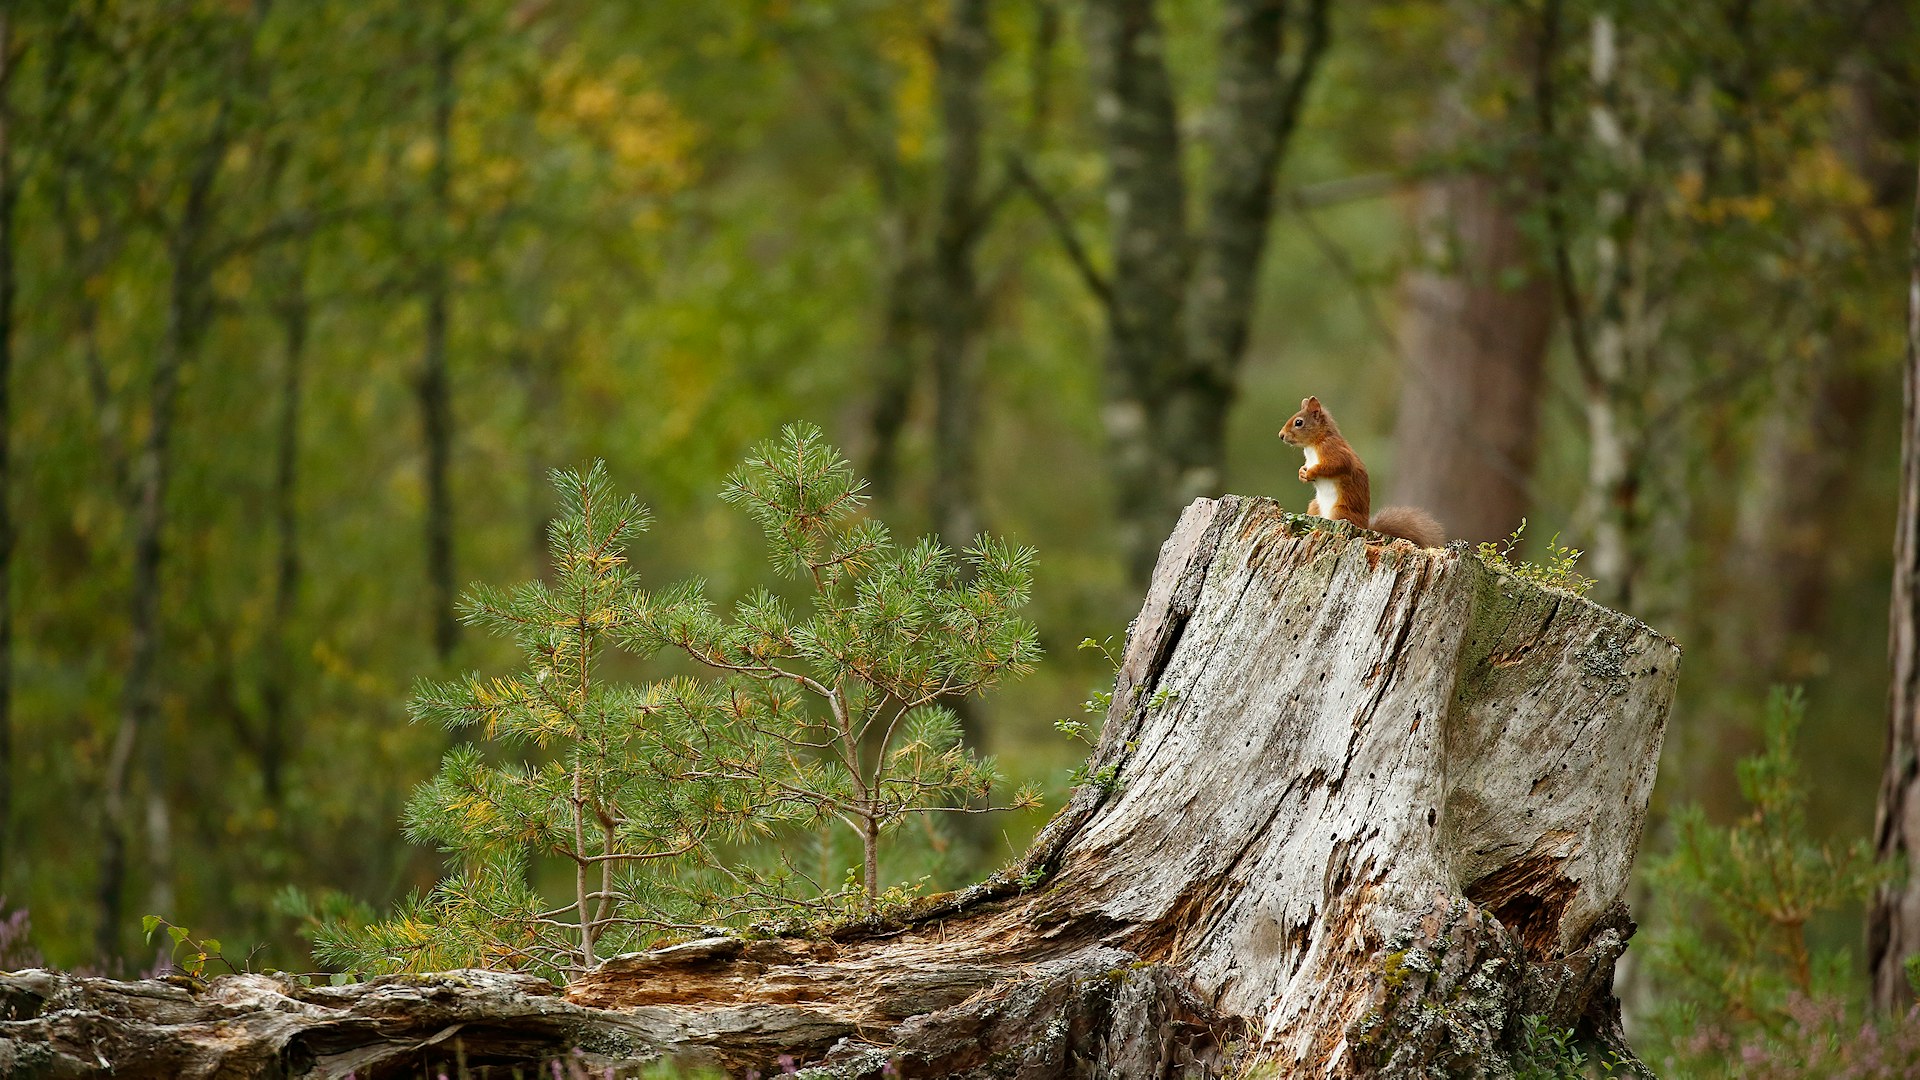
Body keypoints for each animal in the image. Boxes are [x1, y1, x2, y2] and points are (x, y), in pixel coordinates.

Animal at [1282, 395, 1443, 545]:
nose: (1281, 435)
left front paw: (1310, 473)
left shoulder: (1334, 451)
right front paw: (1302, 473)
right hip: (1315, 506)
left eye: (1298, 422)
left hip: (1340, 512)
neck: (1313, 444)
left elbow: (1336, 465)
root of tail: (1365, 526)